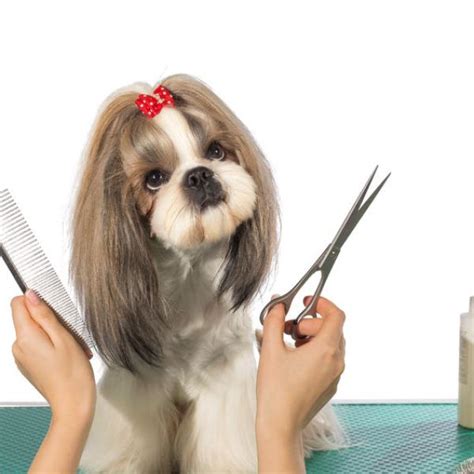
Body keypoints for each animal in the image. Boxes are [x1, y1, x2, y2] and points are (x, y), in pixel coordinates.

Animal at [69, 74, 344, 474]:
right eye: (155, 178)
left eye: (215, 151)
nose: (199, 175)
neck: (189, 276)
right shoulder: (137, 386)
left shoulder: (226, 378)